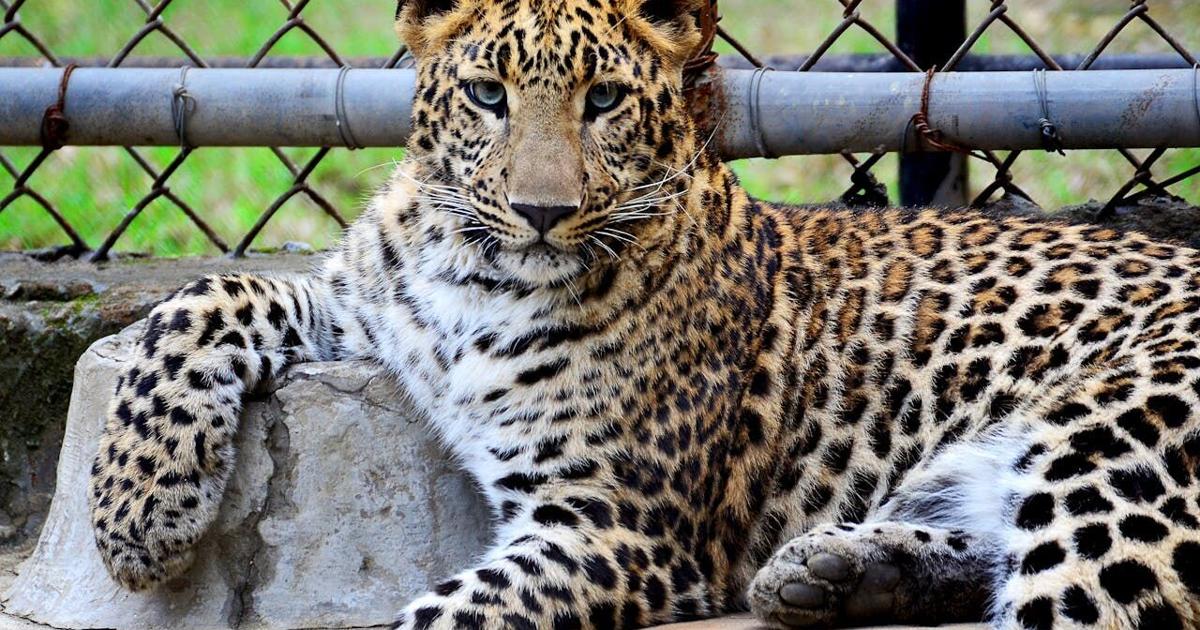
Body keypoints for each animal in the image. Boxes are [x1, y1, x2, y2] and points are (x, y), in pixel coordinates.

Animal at [86, 0, 1200, 628]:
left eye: (605, 102)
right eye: (487, 95)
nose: (542, 211)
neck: (476, 271)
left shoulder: (618, 527)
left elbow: (444, 619)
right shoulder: (369, 304)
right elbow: (203, 298)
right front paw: (137, 516)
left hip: (1112, 445)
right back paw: (842, 571)